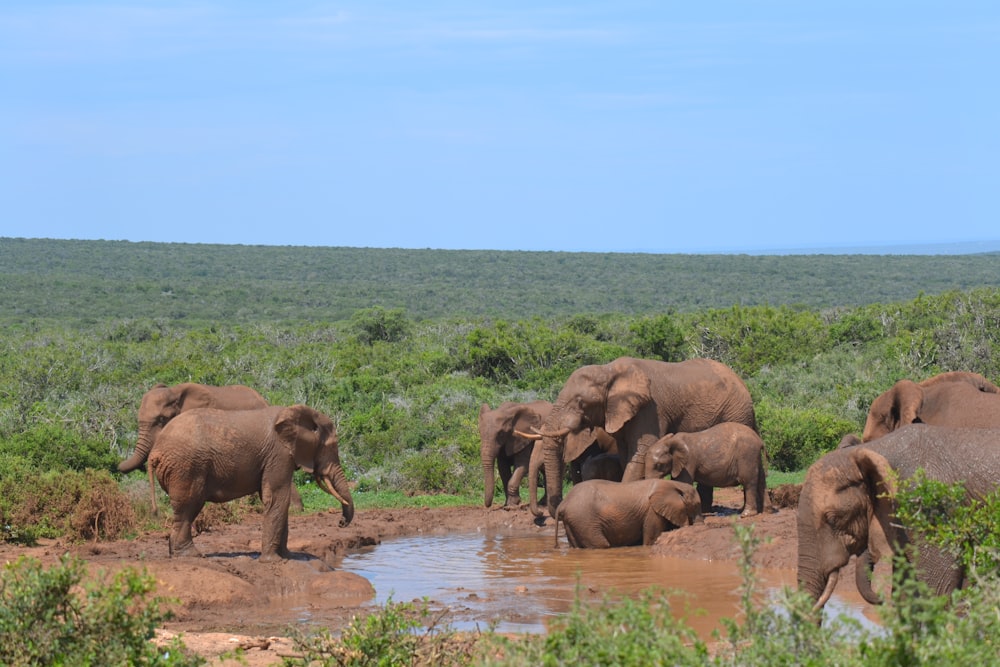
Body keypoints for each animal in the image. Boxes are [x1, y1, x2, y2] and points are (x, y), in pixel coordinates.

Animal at [146, 404, 354, 560]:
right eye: (330, 447)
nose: (341, 523)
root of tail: (154, 453)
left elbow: (277, 499)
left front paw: (288, 557)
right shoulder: (279, 454)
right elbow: (277, 498)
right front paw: (273, 560)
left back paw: (175, 554)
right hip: (186, 467)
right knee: (188, 507)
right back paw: (191, 555)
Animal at [528, 358, 752, 520]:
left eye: (580, 402)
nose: (546, 513)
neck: (608, 371)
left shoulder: (650, 409)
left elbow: (640, 453)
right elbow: (627, 454)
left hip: (737, 412)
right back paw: (705, 508)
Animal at [556, 478, 704, 552]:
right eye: (696, 505)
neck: (674, 484)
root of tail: (563, 504)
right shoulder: (652, 512)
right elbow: (651, 538)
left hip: (573, 521)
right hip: (584, 519)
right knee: (601, 544)